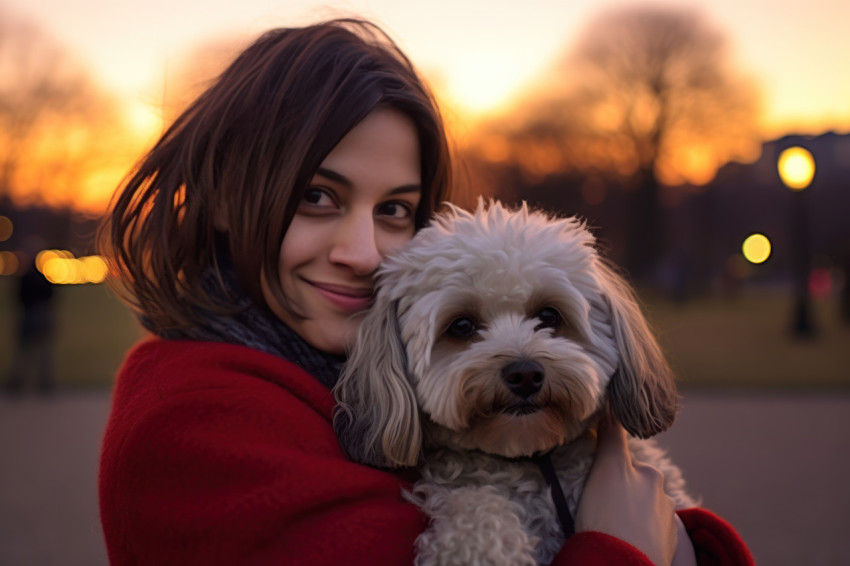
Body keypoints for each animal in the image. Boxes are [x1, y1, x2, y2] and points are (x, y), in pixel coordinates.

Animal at [332, 202, 696, 564]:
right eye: (461, 325)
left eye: (548, 316)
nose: (525, 374)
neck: (530, 455)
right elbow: (476, 513)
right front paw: (480, 546)